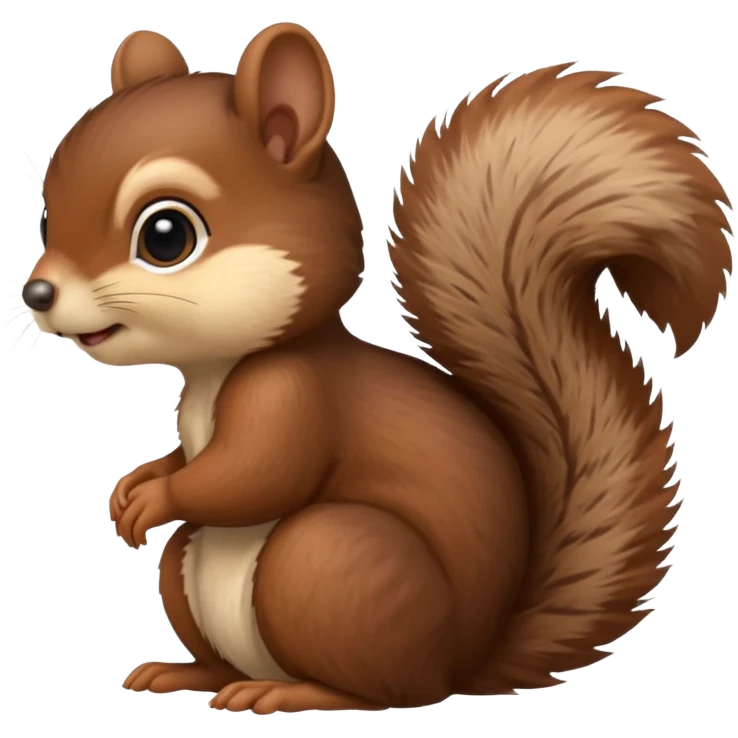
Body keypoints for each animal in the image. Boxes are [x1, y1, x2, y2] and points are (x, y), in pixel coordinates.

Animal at [22, 23, 733, 713]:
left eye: (165, 236)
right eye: (48, 218)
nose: (38, 294)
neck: (218, 369)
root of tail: (464, 664)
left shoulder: (294, 396)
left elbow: (252, 476)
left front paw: (154, 497)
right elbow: (186, 460)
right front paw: (135, 484)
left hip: (330, 562)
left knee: (380, 689)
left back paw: (288, 692)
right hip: (196, 569)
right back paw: (187, 672)